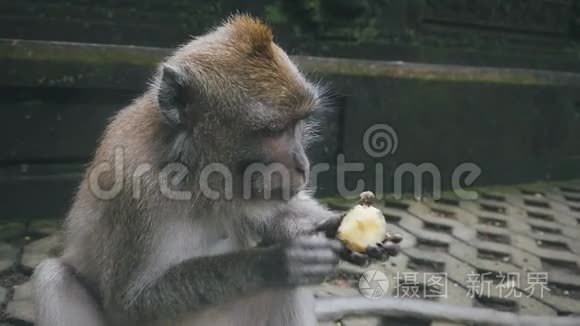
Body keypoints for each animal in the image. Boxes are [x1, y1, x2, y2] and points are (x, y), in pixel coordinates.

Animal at [32, 15, 398, 326]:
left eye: (299, 124)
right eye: (274, 130)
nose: (302, 164)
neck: (191, 171)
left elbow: (272, 215)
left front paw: (334, 227)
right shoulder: (133, 191)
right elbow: (129, 304)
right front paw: (277, 262)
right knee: (54, 279)